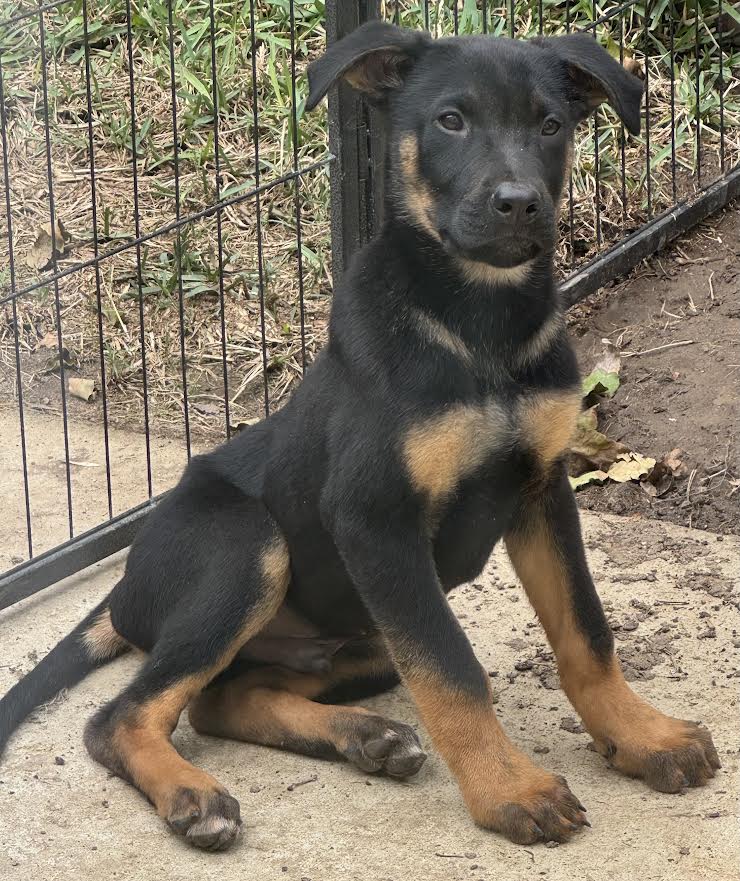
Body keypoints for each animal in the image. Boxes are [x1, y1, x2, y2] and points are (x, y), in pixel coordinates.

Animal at [0, 22, 719, 851]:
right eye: (450, 121)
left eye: (551, 125)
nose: (519, 204)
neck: (479, 327)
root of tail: (122, 585)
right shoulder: (376, 521)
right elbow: (455, 669)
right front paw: (508, 787)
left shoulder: (542, 491)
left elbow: (587, 634)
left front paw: (642, 735)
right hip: (250, 550)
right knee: (120, 715)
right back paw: (193, 793)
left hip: (368, 640)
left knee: (219, 699)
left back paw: (362, 736)